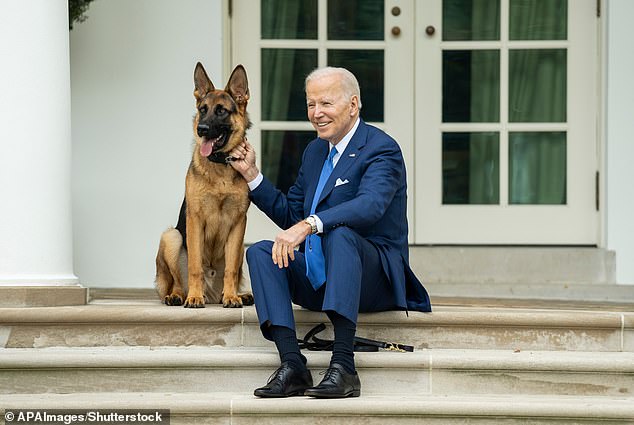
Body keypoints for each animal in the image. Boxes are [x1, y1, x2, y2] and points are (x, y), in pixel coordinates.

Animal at [154, 63, 253, 306]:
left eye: (221, 111)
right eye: (202, 109)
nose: (202, 128)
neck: (220, 167)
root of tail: (212, 296)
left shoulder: (239, 223)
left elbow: (230, 270)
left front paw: (232, 297)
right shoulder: (195, 220)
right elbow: (195, 265)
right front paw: (194, 297)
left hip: (243, 247)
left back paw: (237, 295)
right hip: (171, 237)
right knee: (178, 282)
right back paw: (179, 296)